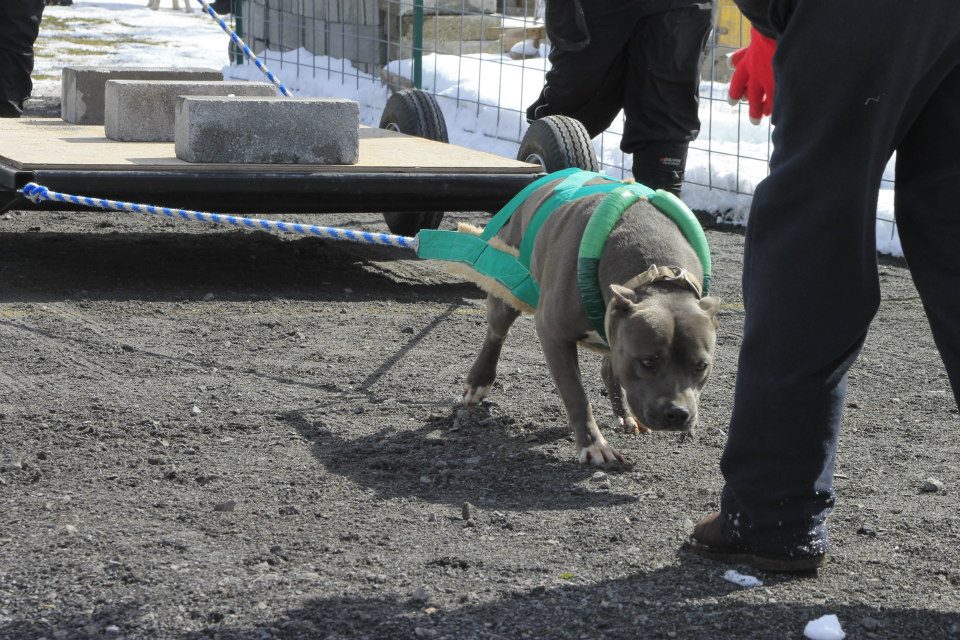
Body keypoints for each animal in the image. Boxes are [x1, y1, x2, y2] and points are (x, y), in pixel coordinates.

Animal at [460, 175, 720, 464]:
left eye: (701, 366)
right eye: (647, 362)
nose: (676, 413)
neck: (659, 279)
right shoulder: (553, 333)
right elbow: (576, 395)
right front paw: (593, 445)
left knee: (608, 368)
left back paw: (624, 415)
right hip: (507, 283)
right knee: (496, 333)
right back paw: (478, 381)